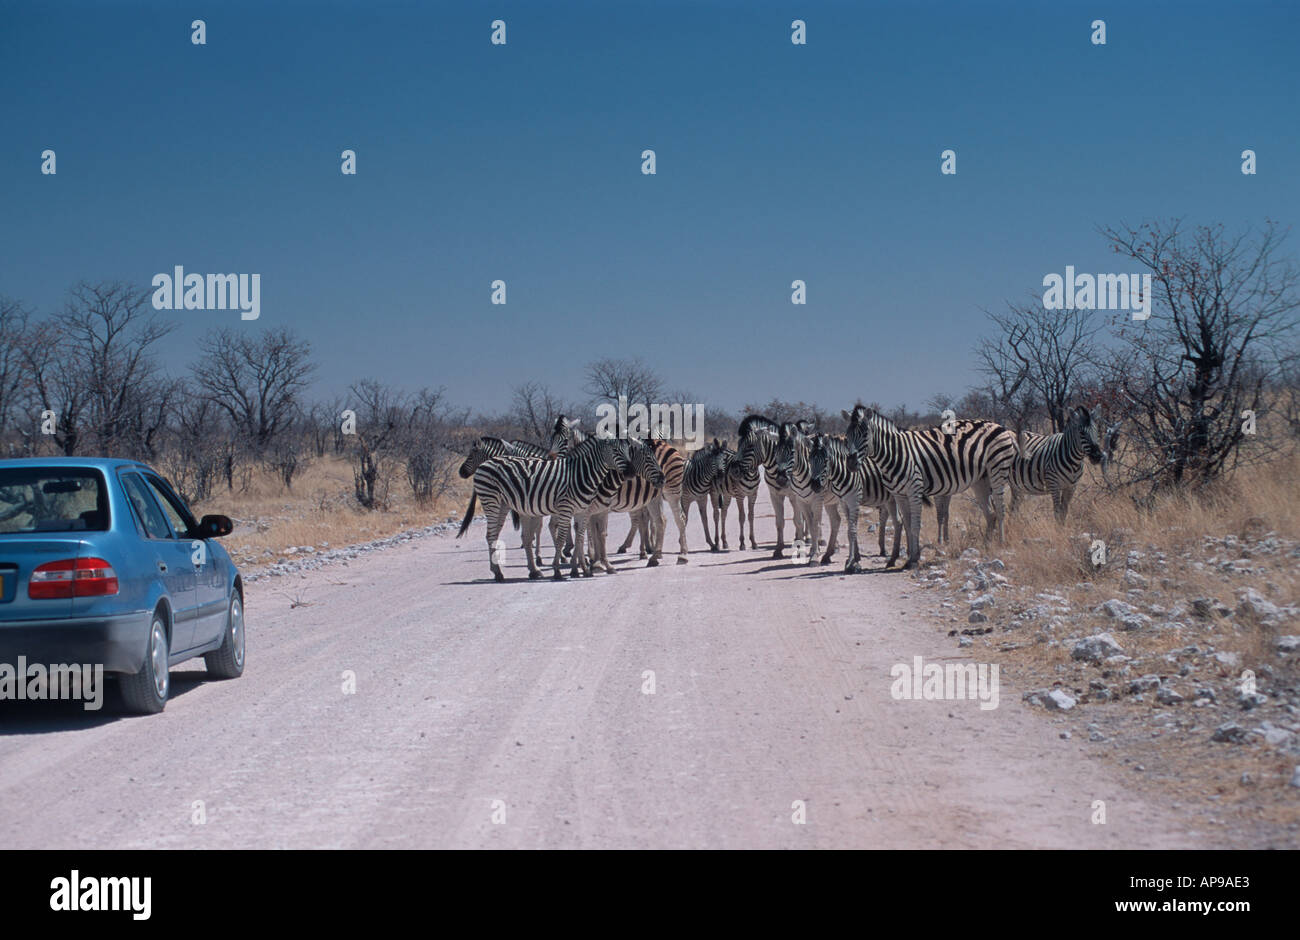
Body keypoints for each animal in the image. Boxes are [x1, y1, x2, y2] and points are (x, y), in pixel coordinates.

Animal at [462, 436, 634, 579]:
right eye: (615, 450)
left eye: (628, 450)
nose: (631, 472)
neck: (581, 474)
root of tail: (485, 463)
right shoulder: (565, 508)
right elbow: (560, 538)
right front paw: (558, 570)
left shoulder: (582, 511)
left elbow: (580, 537)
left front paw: (583, 569)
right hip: (491, 501)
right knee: (491, 535)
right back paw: (498, 573)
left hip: (503, 505)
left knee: (494, 535)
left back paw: (511, 571)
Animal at [811, 434, 904, 574]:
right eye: (810, 460)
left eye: (826, 460)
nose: (815, 485)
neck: (843, 473)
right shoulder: (844, 502)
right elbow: (851, 529)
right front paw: (854, 560)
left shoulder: (854, 501)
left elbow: (852, 531)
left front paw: (850, 563)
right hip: (890, 499)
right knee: (898, 522)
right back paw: (893, 559)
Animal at [847, 403, 1019, 569]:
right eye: (847, 435)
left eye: (865, 434)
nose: (851, 464)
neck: (895, 453)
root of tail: (1000, 426)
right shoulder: (899, 494)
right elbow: (907, 525)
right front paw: (911, 557)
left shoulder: (914, 490)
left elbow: (915, 526)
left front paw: (913, 560)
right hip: (980, 480)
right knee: (990, 514)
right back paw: (986, 544)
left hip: (997, 470)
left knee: (1000, 509)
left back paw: (1001, 543)